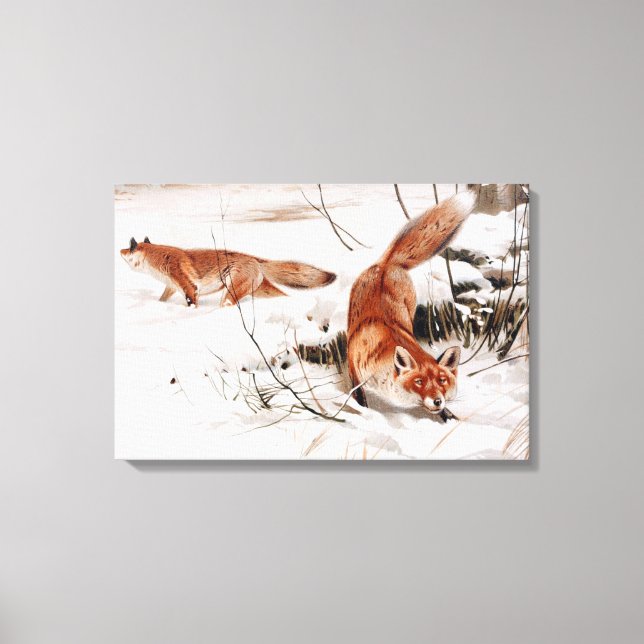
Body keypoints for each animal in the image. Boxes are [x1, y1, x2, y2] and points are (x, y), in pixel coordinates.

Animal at [120, 237, 336, 307]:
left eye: (128, 248)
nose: (119, 251)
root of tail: (254, 259)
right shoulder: (171, 287)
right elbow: (161, 299)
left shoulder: (189, 288)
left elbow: (192, 304)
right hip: (259, 290)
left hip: (230, 294)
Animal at [347, 189, 477, 416]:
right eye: (419, 382)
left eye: (442, 381)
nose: (437, 401)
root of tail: (386, 264)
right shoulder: (355, 369)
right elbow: (359, 396)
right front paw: (364, 412)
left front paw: (449, 416)